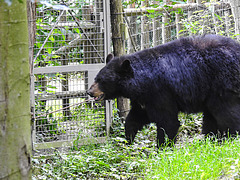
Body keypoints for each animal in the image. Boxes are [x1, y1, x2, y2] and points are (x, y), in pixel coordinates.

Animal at [87, 34, 240, 147]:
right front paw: (128, 139)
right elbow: (136, 117)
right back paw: (211, 140)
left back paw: (230, 138)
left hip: (221, 83)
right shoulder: (143, 99)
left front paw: (162, 148)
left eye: (101, 80)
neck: (141, 82)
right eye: (96, 78)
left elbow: (167, 121)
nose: (89, 92)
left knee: (225, 113)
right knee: (211, 116)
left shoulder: (161, 91)